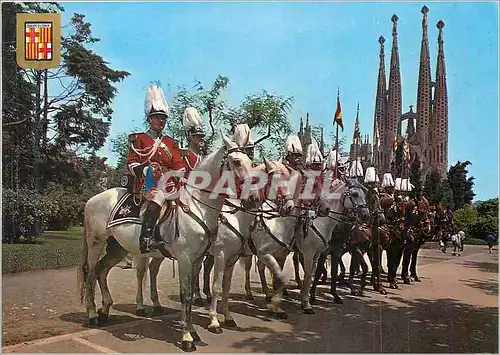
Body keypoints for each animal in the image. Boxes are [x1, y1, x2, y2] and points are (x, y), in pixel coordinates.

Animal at [78, 132, 260, 352]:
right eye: (236, 161)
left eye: (252, 162)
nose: (254, 197)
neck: (198, 206)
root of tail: (93, 199)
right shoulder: (188, 258)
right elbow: (186, 294)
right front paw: (188, 337)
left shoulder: (198, 259)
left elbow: (193, 294)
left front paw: (194, 332)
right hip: (96, 242)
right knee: (90, 273)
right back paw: (93, 315)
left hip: (118, 248)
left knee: (102, 270)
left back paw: (105, 309)